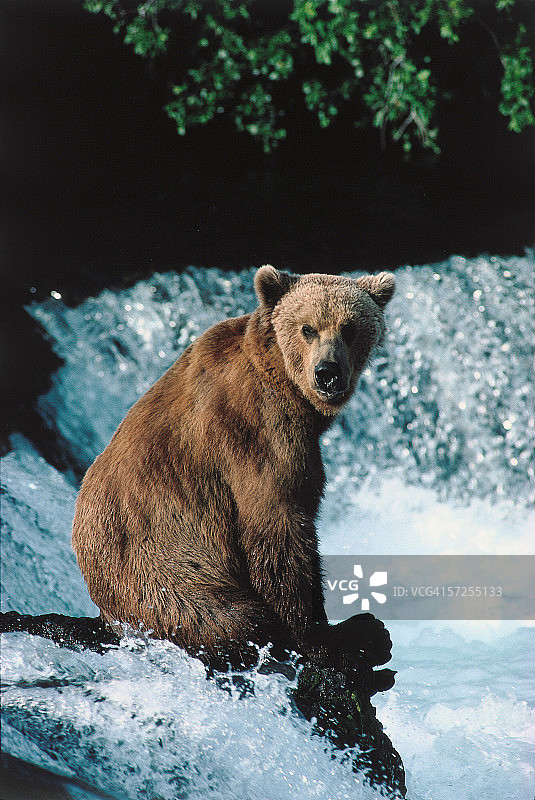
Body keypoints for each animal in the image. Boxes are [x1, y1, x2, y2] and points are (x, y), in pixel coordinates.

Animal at [71, 266, 396, 675]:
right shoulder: (257, 434)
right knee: (233, 617)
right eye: (308, 328)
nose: (328, 373)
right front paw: (333, 641)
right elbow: (279, 529)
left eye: (350, 328)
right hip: (168, 579)